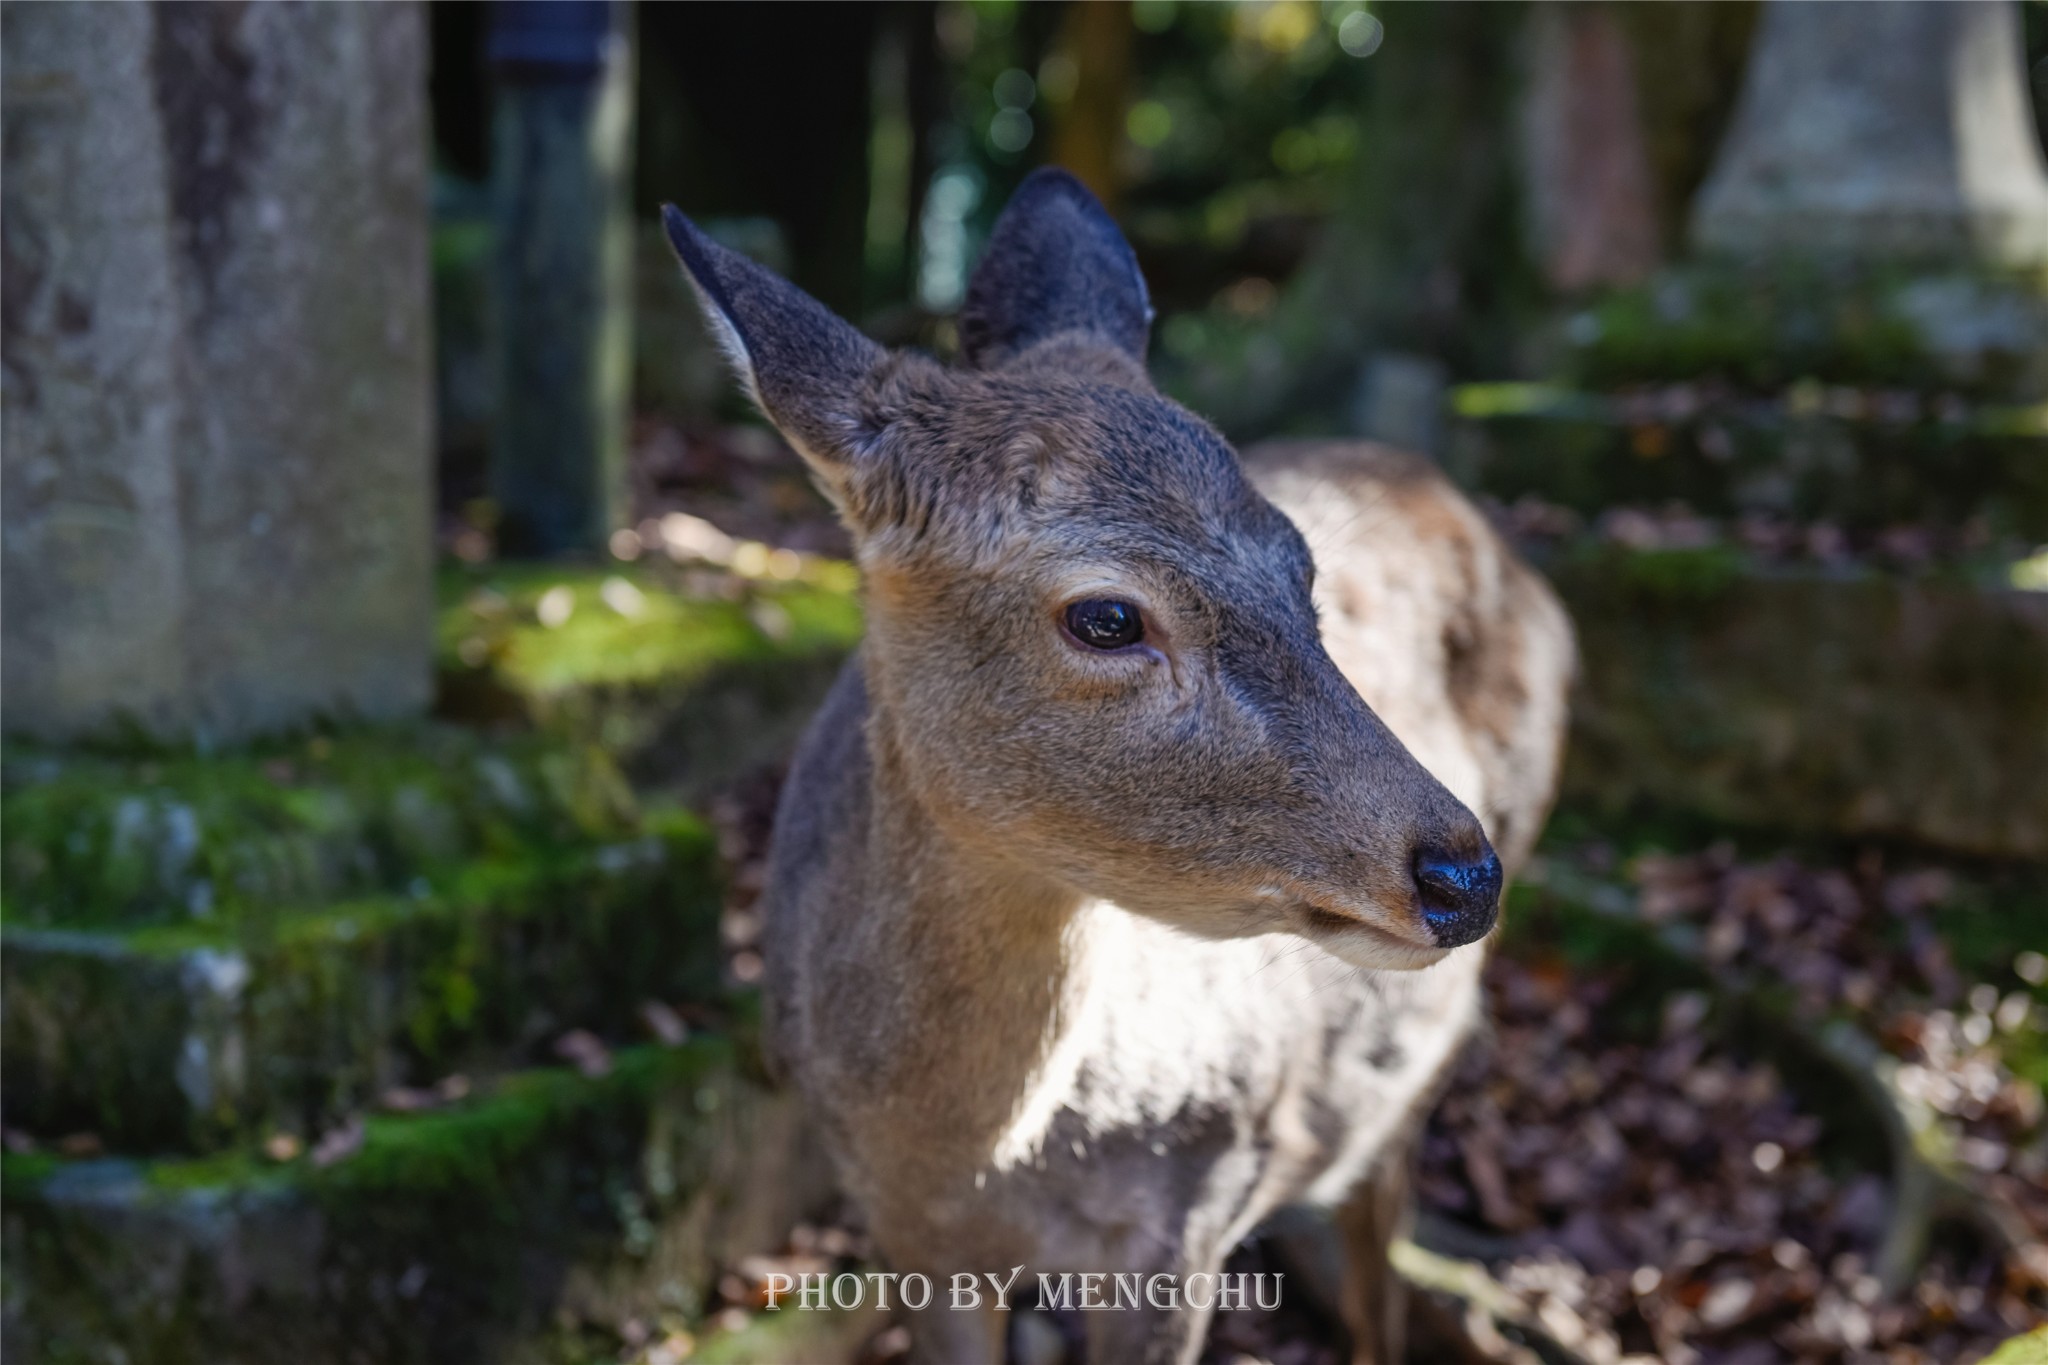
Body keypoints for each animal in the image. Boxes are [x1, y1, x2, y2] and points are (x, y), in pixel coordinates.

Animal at [663, 170, 1572, 1365]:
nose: (1461, 876)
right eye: (1105, 616)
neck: (963, 1149)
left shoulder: (1189, 1213)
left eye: (1302, 572)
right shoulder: (904, 1233)